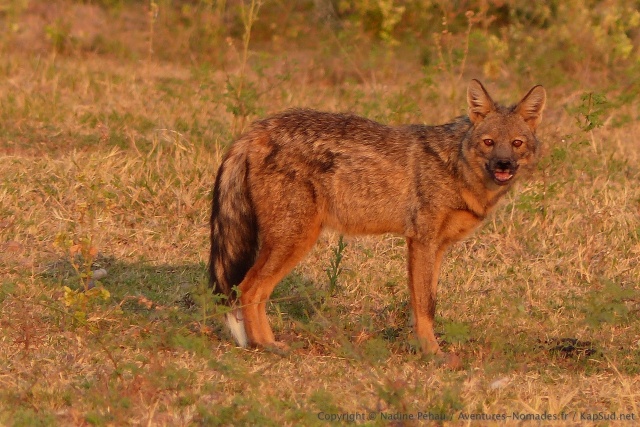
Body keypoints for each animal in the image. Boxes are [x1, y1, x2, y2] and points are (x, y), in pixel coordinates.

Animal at [209, 79, 546, 355]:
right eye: (489, 142)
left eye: (516, 143)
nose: (504, 165)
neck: (456, 168)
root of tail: (255, 130)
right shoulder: (421, 241)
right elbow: (425, 305)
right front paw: (432, 354)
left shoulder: (435, 247)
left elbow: (424, 304)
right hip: (294, 239)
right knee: (248, 288)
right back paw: (265, 346)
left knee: (252, 291)